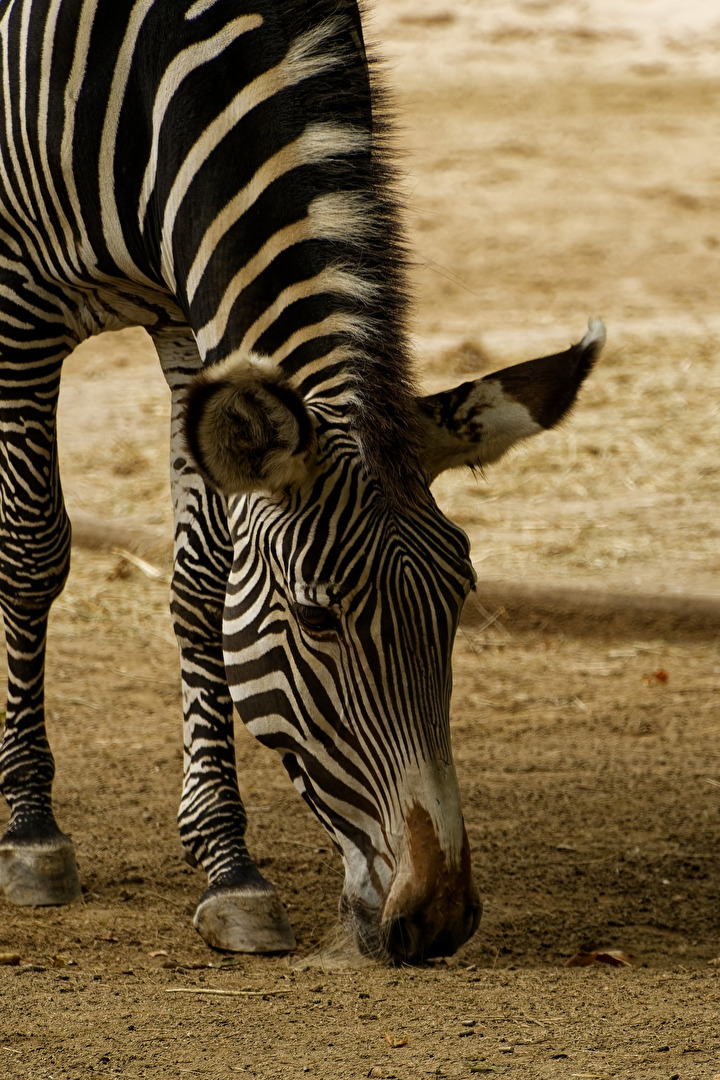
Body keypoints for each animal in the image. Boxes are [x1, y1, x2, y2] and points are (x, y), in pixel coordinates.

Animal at [0, 0, 604, 963]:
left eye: (463, 599)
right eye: (317, 618)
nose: (438, 919)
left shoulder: (193, 309)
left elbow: (202, 582)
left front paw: (227, 864)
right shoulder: (21, 297)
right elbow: (31, 548)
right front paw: (30, 830)